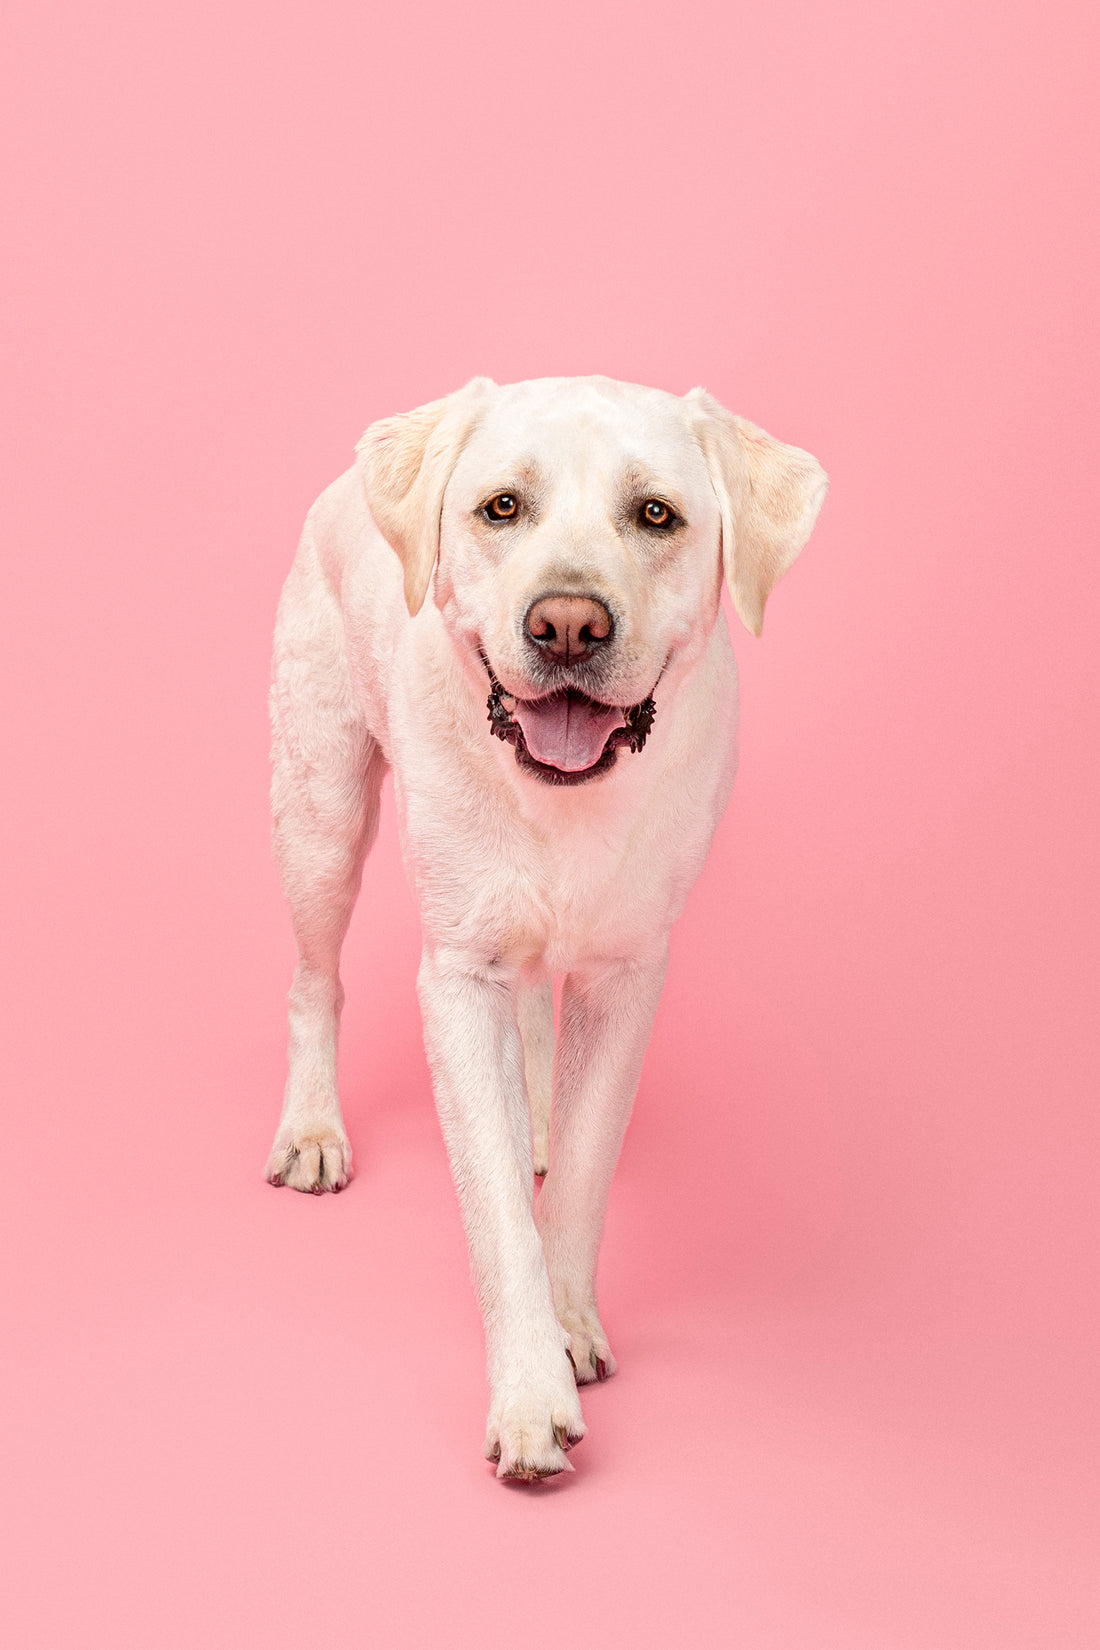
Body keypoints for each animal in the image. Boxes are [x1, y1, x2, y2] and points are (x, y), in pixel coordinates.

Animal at [267, 374, 824, 1485]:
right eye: (500, 508)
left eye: (655, 514)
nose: (567, 624)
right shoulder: (458, 978)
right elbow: (496, 1217)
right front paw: (530, 1392)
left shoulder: (625, 976)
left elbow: (582, 1175)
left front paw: (568, 1327)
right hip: (321, 814)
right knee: (316, 982)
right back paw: (312, 1130)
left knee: (533, 1017)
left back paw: (533, 1113)